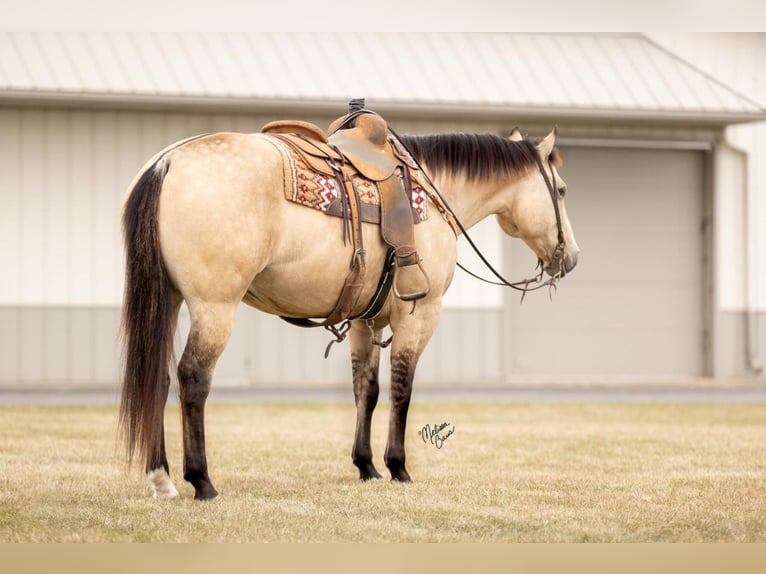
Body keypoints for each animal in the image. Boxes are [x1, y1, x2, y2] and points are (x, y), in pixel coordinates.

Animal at [120, 102, 580, 500]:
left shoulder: (365, 321)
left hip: (169, 300)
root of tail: (167, 162)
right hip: (214, 307)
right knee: (193, 378)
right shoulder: (420, 314)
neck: (432, 196)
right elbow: (402, 389)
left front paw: (366, 466)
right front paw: (398, 466)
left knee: (159, 378)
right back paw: (201, 481)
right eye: (559, 190)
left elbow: (367, 389)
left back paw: (161, 479)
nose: (571, 257)